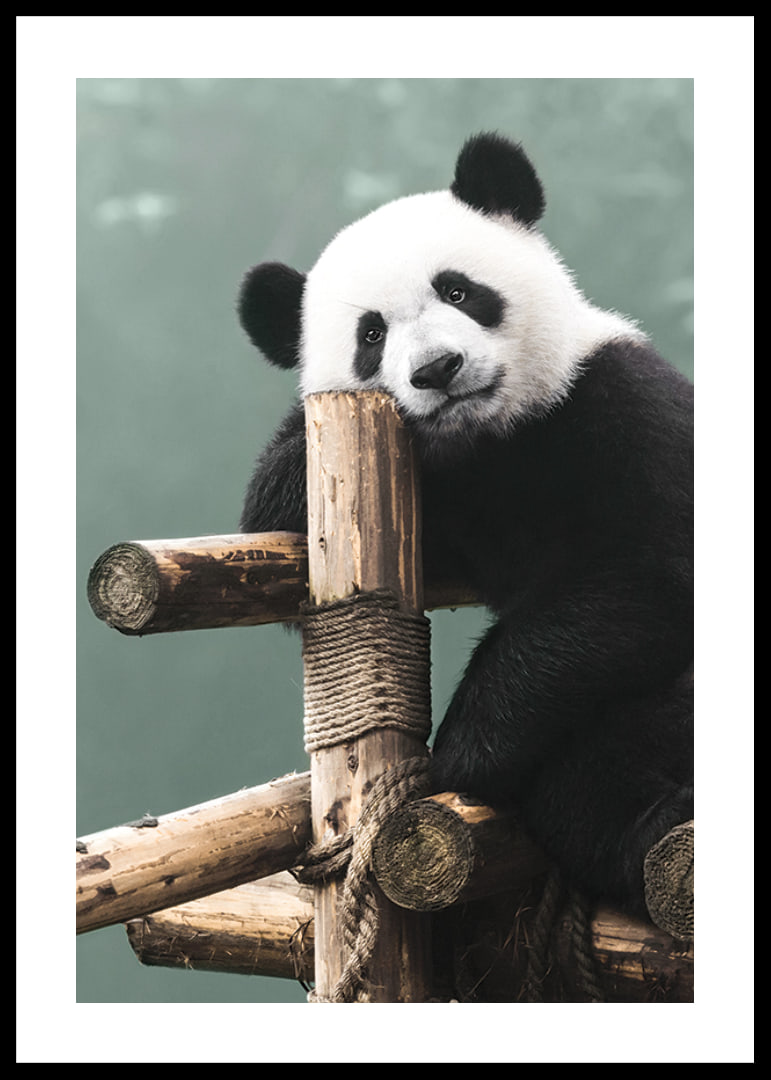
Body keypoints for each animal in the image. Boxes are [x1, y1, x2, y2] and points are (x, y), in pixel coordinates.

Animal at [237, 132, 693, 918]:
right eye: (370, 334)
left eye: (457, 291)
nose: (437, 368)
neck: (491, 438)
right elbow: (270, 519)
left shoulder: (622, 405)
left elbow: (642, 574)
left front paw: (459, 752)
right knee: (587, 789)